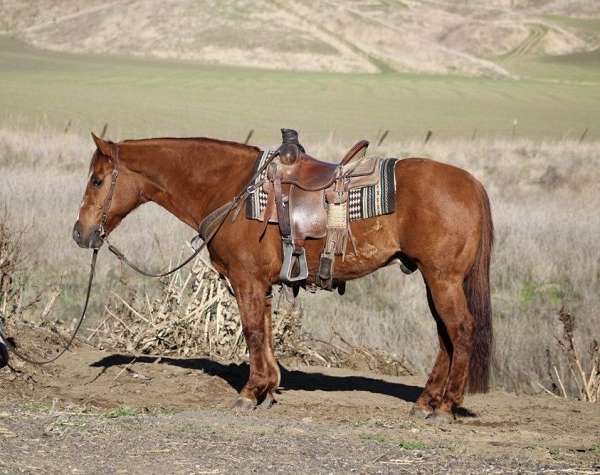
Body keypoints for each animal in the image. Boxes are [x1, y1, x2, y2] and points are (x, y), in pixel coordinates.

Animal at [72, 134, 492, 424]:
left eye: (97, 181)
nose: (80, 233)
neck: (231, 189)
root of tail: (472, 184)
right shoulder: (262, 284)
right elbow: (266, 331)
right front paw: (269, 390)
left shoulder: (246, 280)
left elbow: (253, 331)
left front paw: (249, 393)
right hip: (435, 280)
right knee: (445, 337)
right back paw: (425, 402)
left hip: (443, 279)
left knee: (460, 331)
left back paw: (446, 407)